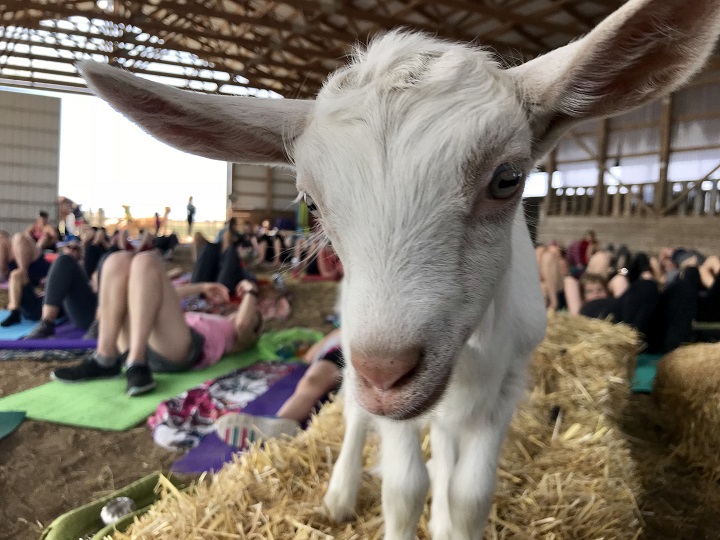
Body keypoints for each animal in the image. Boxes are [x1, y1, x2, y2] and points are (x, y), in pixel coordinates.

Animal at [79, 1, 720, 537]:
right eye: (311, 200)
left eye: (508, 178)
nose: (387, 372)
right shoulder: (386, 388)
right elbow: (405, 486)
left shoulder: (509, 377)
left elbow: (469, 494)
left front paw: (450, 518)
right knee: (355, 412)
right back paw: (341, 492)